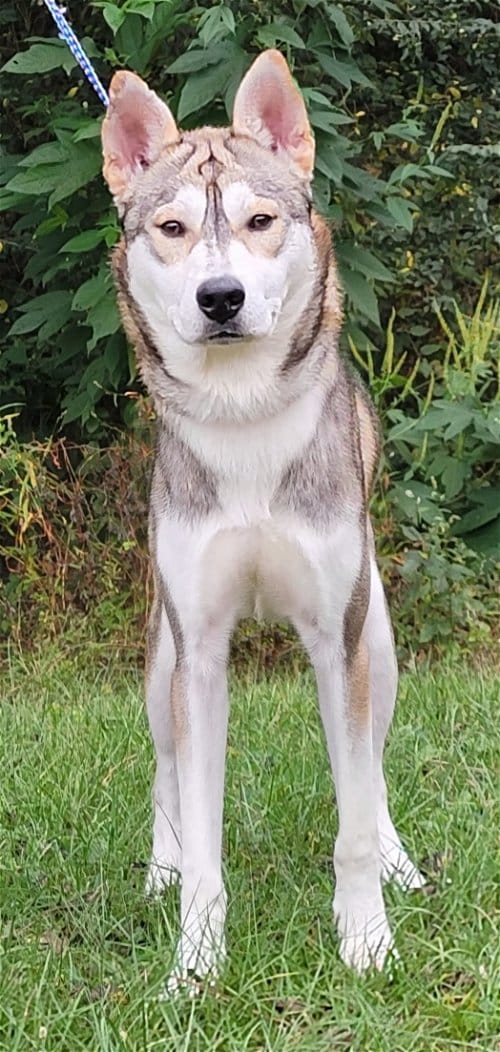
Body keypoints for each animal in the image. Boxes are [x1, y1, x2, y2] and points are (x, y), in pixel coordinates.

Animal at [101, 49, 424, 993]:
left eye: (259, 220)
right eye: (171, 228)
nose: (220, 296)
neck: (241, 416)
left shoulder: (338, 642)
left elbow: (353, 817)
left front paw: (367, 941)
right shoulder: (199, 652)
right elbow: (203, 833)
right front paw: (194, 968)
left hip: (378, 635)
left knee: (374, 772)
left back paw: (401, 861)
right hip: (159, 657)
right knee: (166, 774)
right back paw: (159, 867)